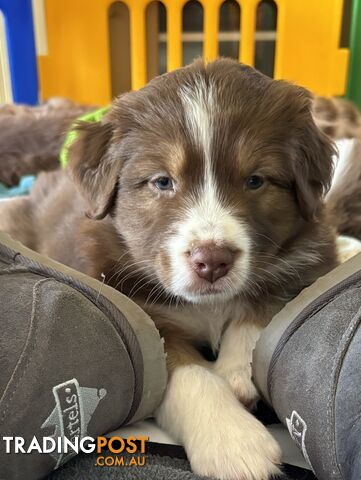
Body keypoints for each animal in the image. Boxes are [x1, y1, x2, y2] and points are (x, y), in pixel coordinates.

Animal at [0, 60, 338, 480]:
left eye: (255, 180)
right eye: (162, 181)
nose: (212, 261)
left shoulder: (313, 255)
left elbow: (262, 304)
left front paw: (235, 374)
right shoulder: (144, 318)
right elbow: (190, 375)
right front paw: (235, 443)